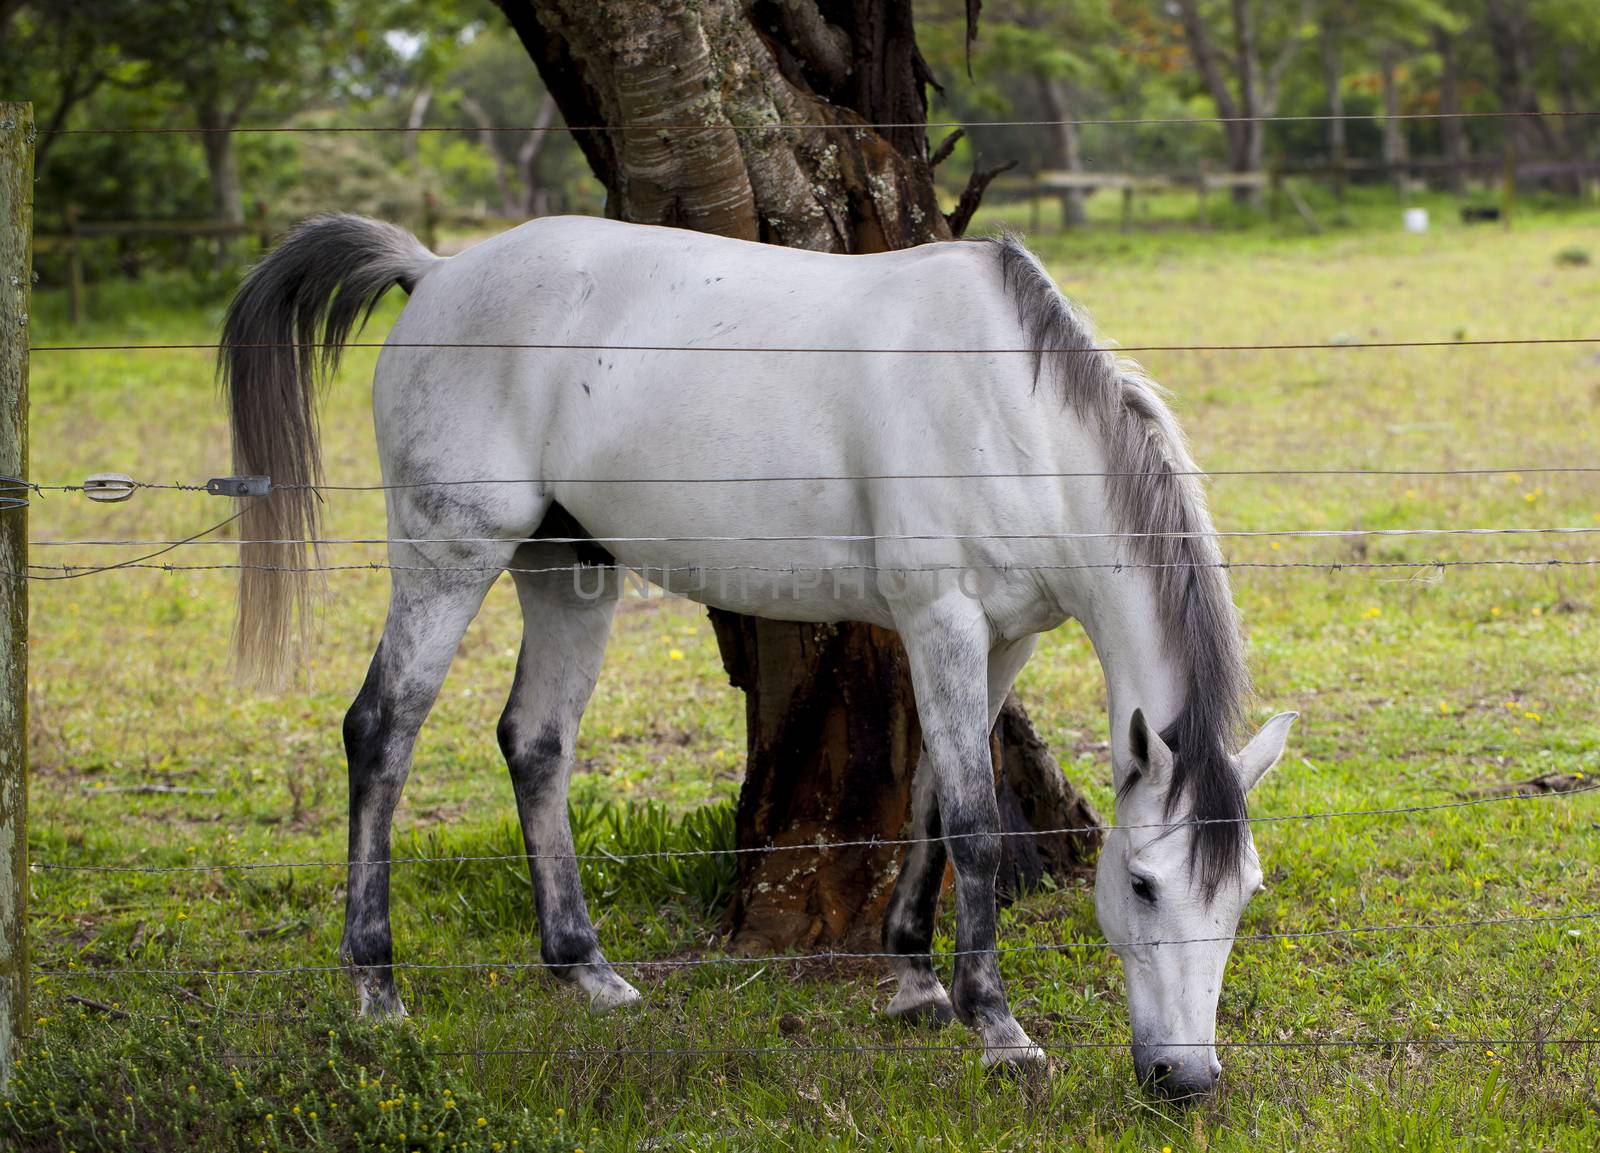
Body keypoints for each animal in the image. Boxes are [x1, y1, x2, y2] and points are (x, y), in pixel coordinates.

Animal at [219, 211, 1292, 1093]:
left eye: (1244, 891)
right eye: (1143, 883)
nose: (1187, 1077)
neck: (1008, 411)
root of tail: (435, 270)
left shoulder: (1006, 640)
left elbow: (931, 801)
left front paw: (914, 983)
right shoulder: (941, 619)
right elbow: (977, 824)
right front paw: (998, 1028)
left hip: (569, 572)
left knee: (535, 742)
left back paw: (587, 971)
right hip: (448, 557)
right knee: (381, 731)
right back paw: (378, 989)